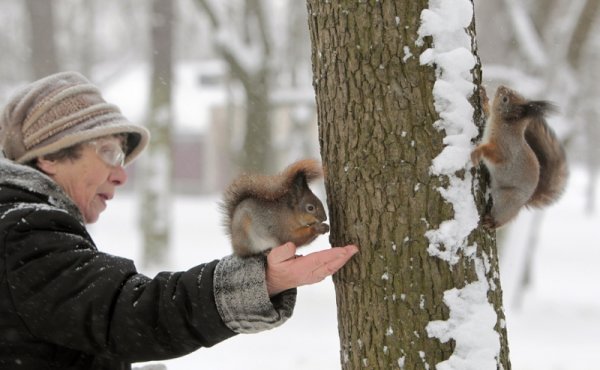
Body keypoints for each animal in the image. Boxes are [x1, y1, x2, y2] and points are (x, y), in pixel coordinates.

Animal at [474, 85, 568, 228]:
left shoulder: (506, 148)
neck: (506, 125)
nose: (501, 86)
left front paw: (478, 151)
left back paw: (491, 222)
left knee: (503, 217)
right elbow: (488, 110)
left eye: (505, 99)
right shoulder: (490, 118)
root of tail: (526, 201)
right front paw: (483, 96)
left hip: (507, 199)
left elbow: (495, 155)